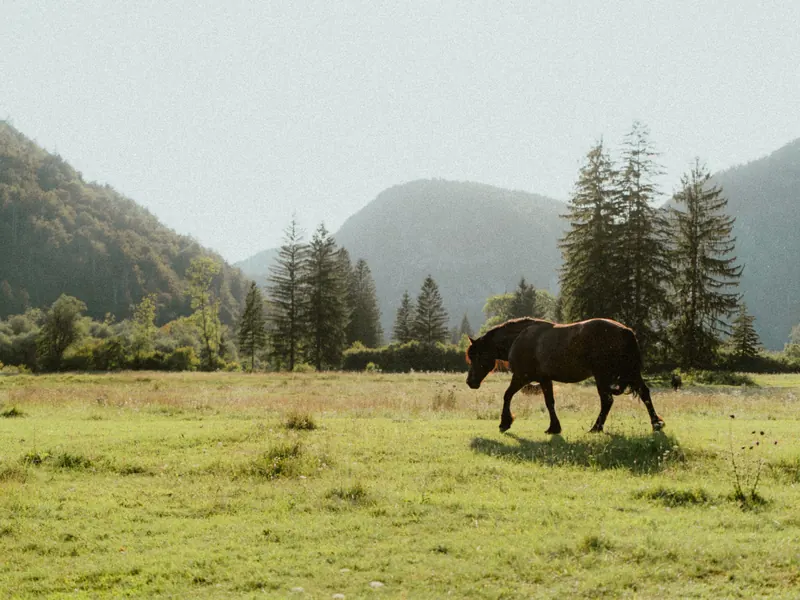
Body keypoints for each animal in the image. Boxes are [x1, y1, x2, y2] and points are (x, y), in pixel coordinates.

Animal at [465, 317, 665, 434]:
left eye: (475, 356)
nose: (470, 381)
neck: (519, 338)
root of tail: (625, 331)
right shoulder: (545, 379)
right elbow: (550, 402)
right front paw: (554, 427)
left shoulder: (521, 377)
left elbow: (507, 396)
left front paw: (505, 422)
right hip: (631, 372)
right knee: (645, 393)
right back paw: (656, 423)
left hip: (602, 376)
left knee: (607, 401)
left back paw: (596, 427)